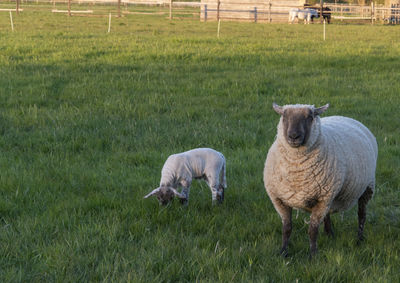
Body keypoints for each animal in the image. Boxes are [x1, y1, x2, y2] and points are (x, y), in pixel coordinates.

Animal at [264, 103, 376, 260]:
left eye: (310, 117)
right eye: (284, 117)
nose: (293, 136)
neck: (296, 171)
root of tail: (346, 117)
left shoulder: (322, 199)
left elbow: (312, 230)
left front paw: (313, 256)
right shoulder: (279, 199)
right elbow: (286, 228)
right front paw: (283, 252)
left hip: (367, 187)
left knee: (362, 214)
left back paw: (359, 239)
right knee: (328, 215)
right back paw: (330, 234)